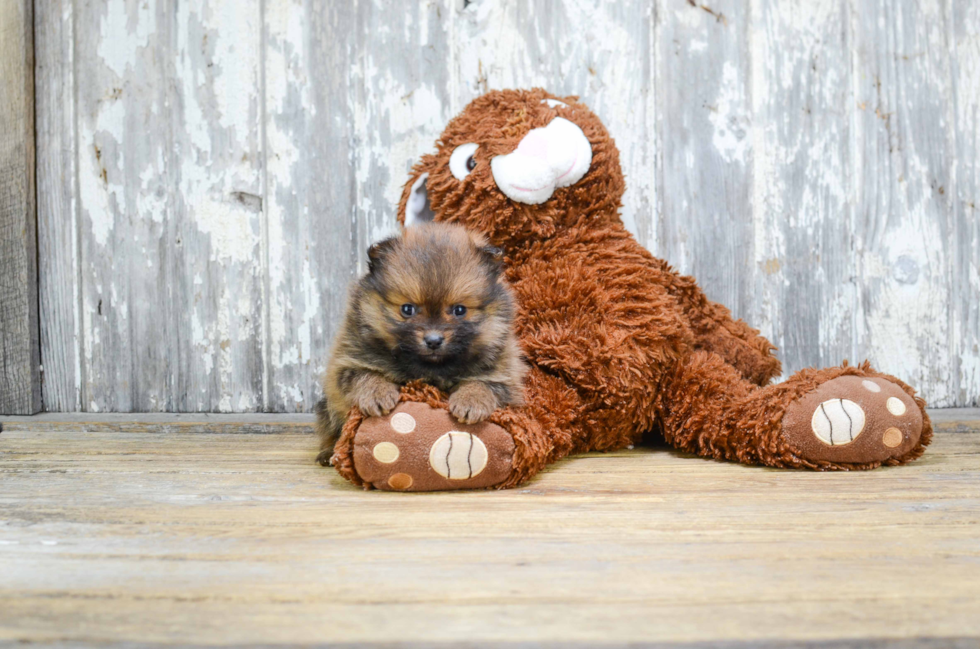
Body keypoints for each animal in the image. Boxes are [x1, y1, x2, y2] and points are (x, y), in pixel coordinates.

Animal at [318, 224, 524, 466]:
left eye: (459, 310)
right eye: (407, 309)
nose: (433, 340)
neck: (430, 369)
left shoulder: (504, 374)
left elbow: (483, 384)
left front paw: (470, 402)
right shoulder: (348, 359)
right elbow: (365, 375)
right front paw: (377, 395)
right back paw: (328, 453)